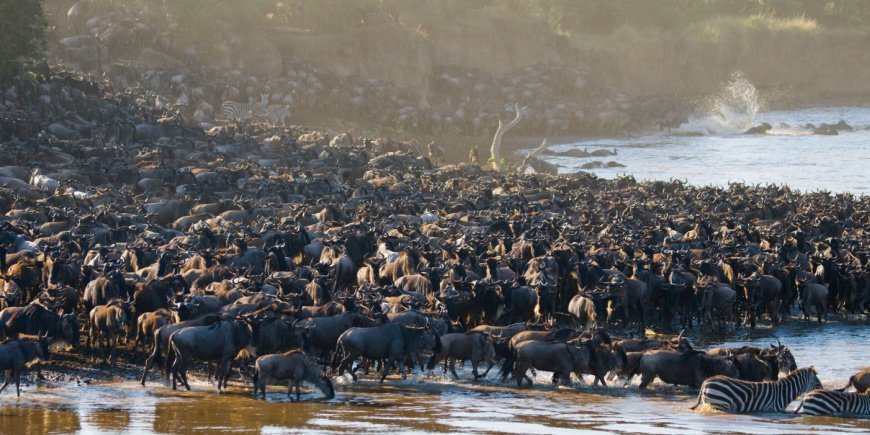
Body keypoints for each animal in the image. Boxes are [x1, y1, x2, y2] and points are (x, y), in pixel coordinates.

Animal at [696, 366, 824, 414]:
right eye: (817, 383)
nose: (822, 392)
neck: (783, 392)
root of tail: (706, 381)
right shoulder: (773, 409)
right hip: (720, 404)